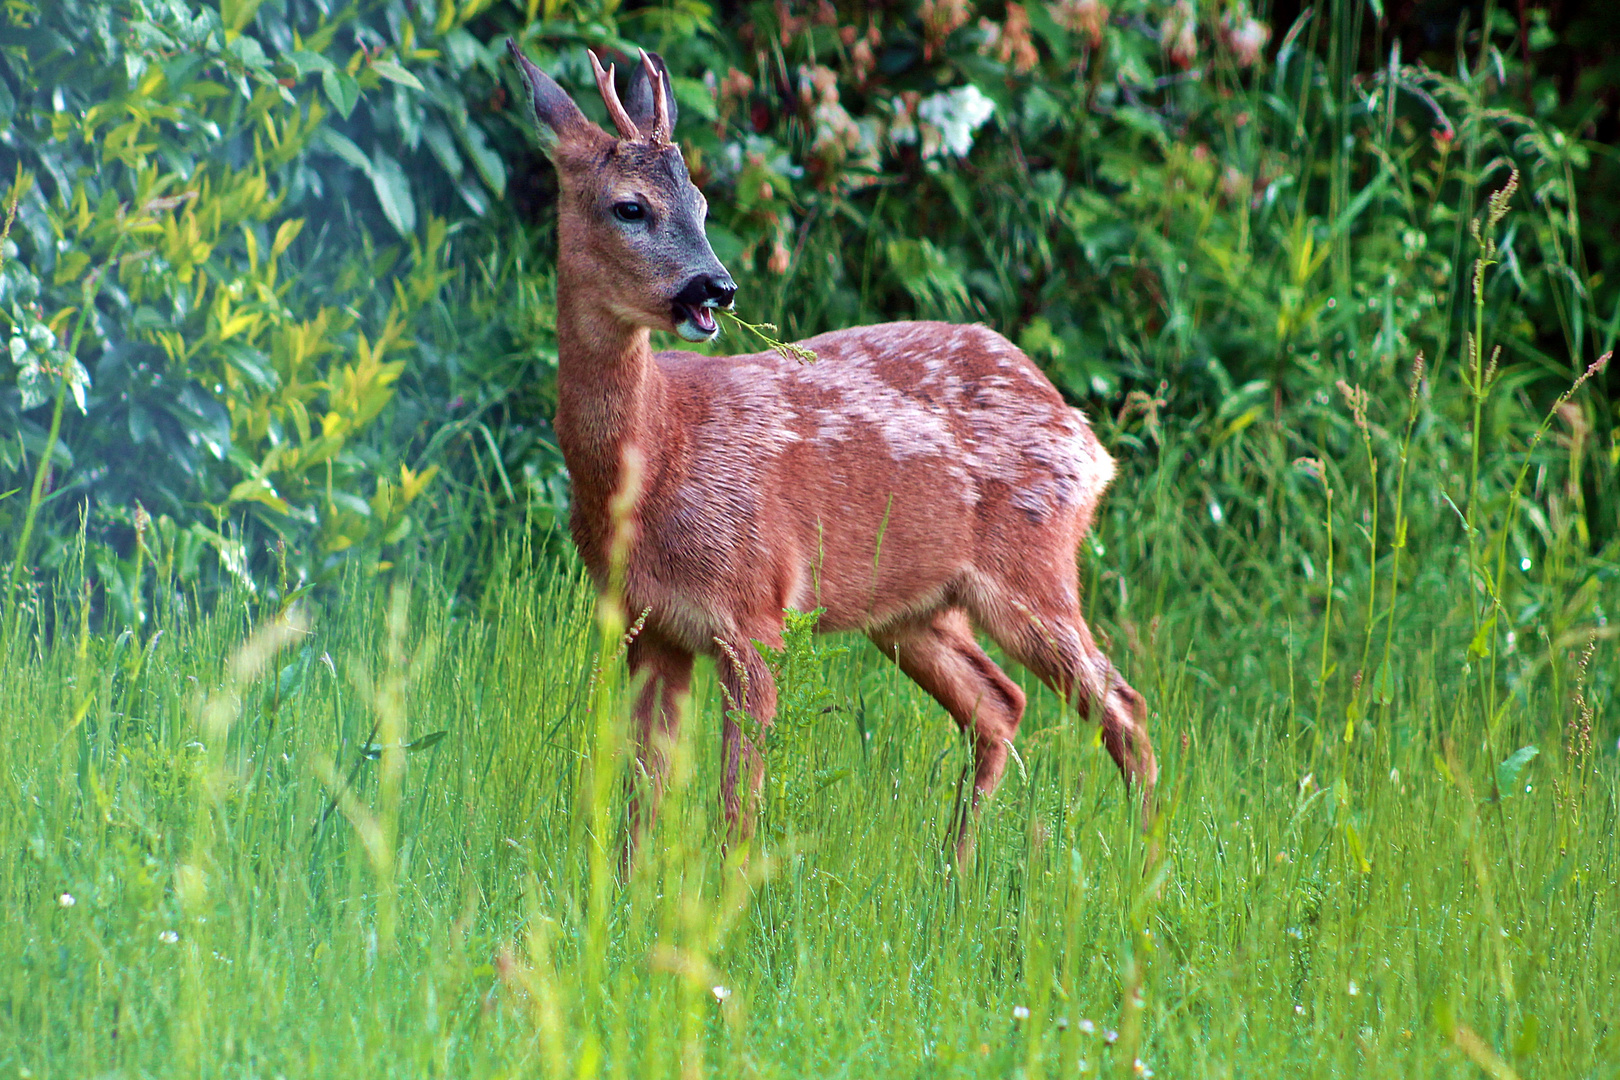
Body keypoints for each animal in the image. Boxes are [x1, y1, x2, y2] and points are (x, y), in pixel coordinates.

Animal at [505, 42, 1153, 867]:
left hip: (1031, 568)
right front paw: (623, 894)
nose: (715, 287)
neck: (658, 458)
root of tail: (1084, 433)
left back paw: (1144, 864)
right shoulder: (648, 626)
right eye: (630, 206)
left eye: (703, 206)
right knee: (1000, 703)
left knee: (1122, 704)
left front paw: (728, 893)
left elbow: (736, 808)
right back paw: (955, 872)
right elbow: (641, 800)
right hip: (912, 606)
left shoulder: (756, 612)